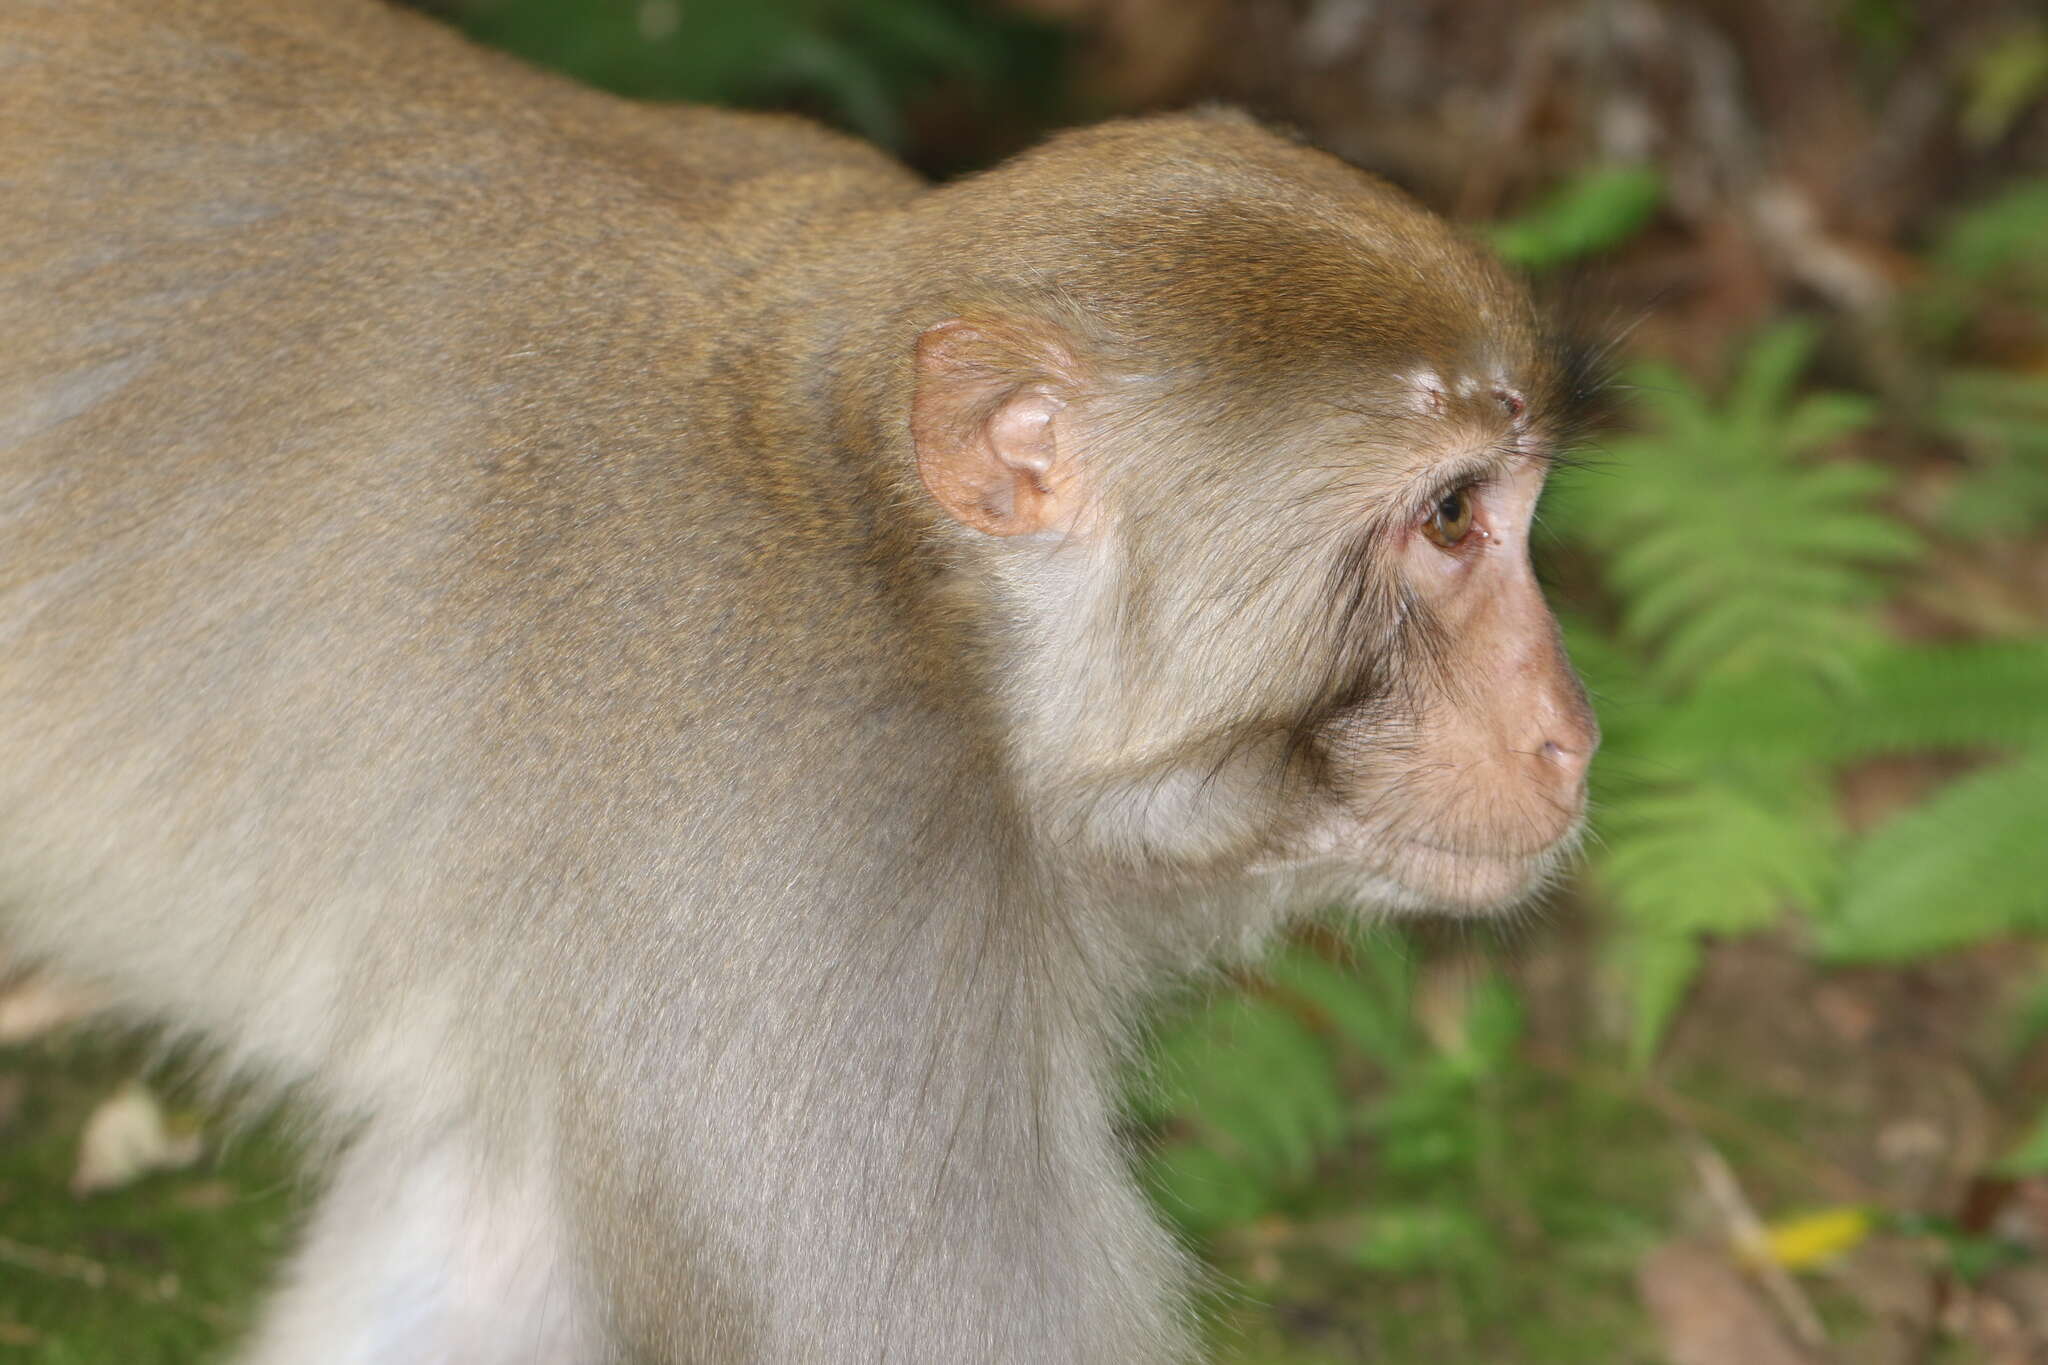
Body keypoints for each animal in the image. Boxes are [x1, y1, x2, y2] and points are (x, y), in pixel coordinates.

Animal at [0, 0, 1597, 1358]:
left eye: (1506, 504)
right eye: (1450, 516)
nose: (1571, 733)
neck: (901, 584)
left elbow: (485, 1225)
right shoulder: (808, 875)